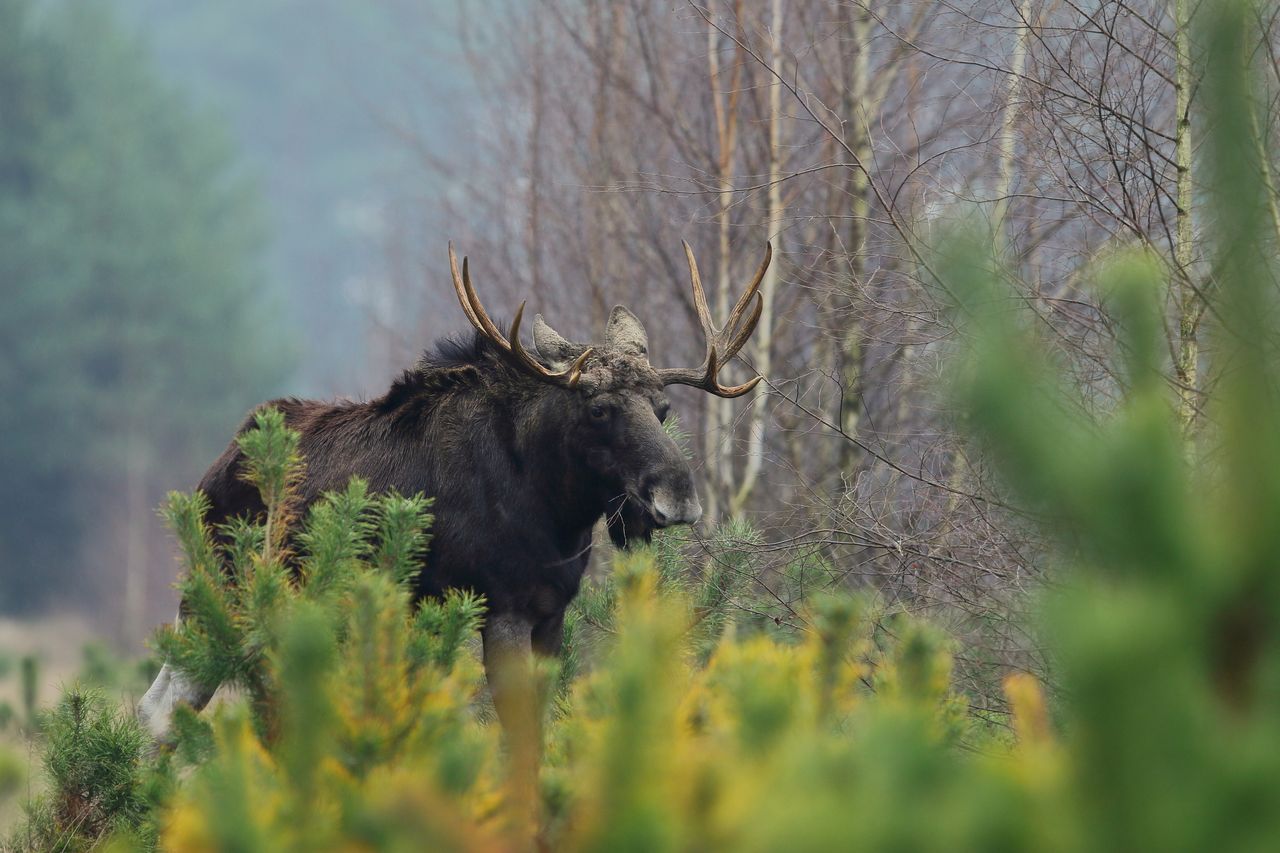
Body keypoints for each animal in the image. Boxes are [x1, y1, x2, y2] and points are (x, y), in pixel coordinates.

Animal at [140, 239, 768, 737]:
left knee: (168, 708)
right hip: (220, 594)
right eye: (598, 409)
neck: (556, 515)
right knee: (173, 709)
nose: (677, 496)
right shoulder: (502, 608)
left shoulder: (550, 615)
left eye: (663, 408)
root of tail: (213, 470)